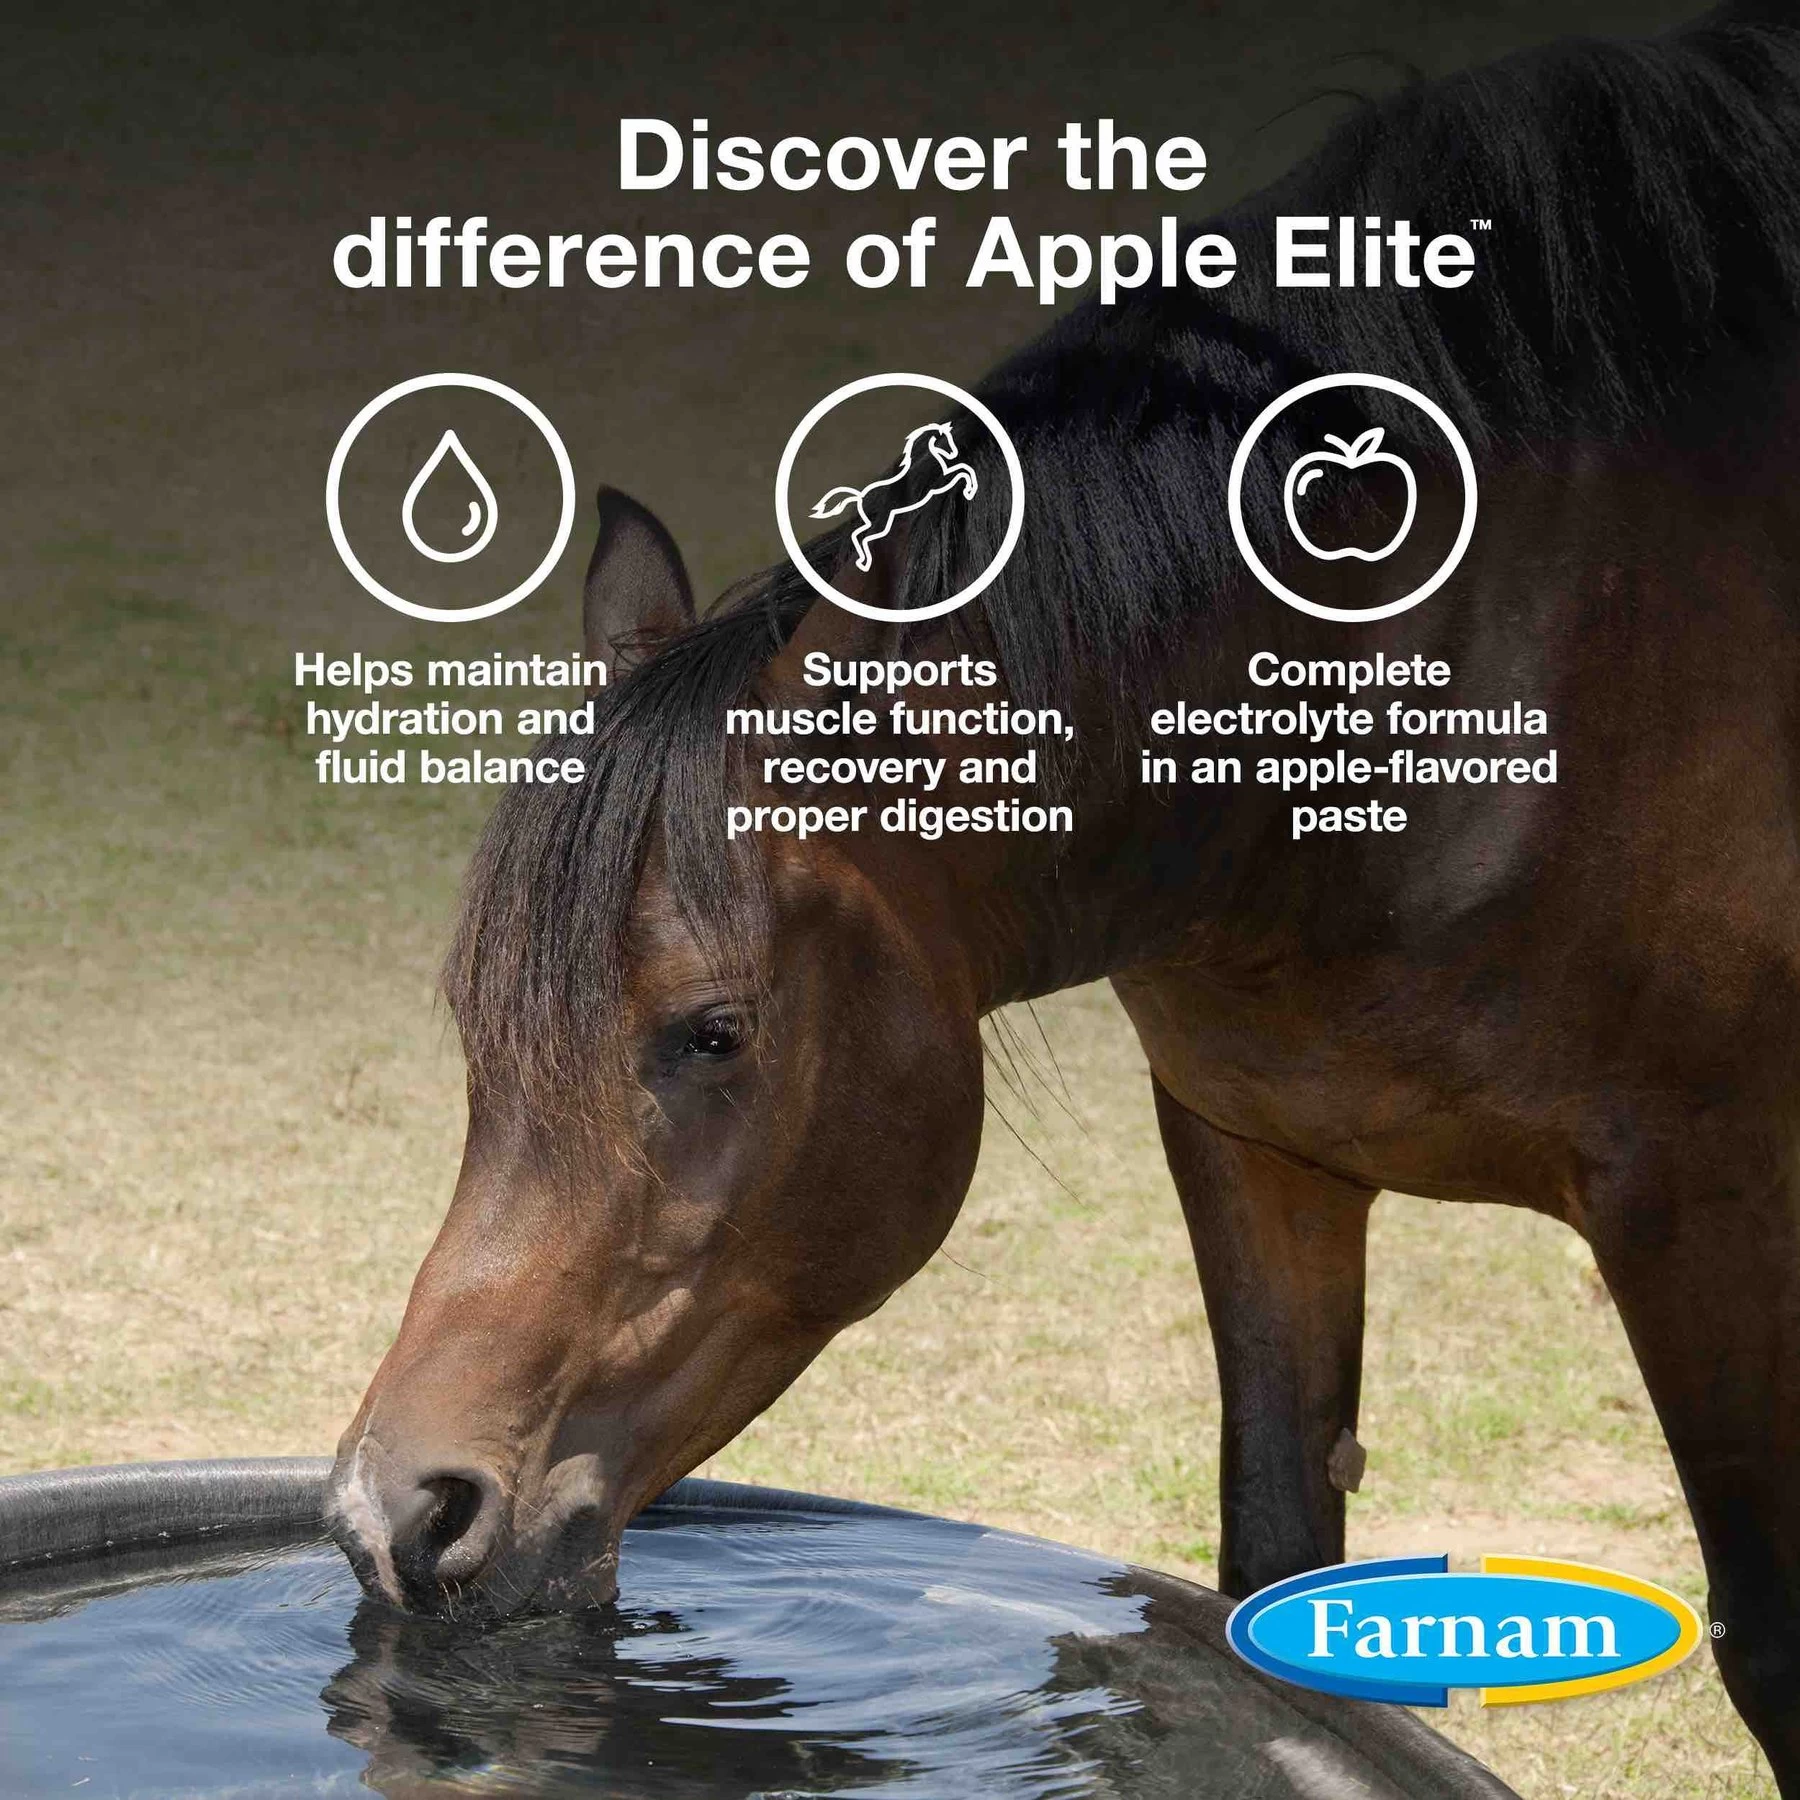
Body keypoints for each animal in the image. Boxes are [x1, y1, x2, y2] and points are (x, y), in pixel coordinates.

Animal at [810, 421, 979, 571]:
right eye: (945, 438)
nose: (954, 452)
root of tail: (859, 497)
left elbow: (962, 470)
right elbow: (962, 471)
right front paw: (969, 489)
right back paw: (863, 561)